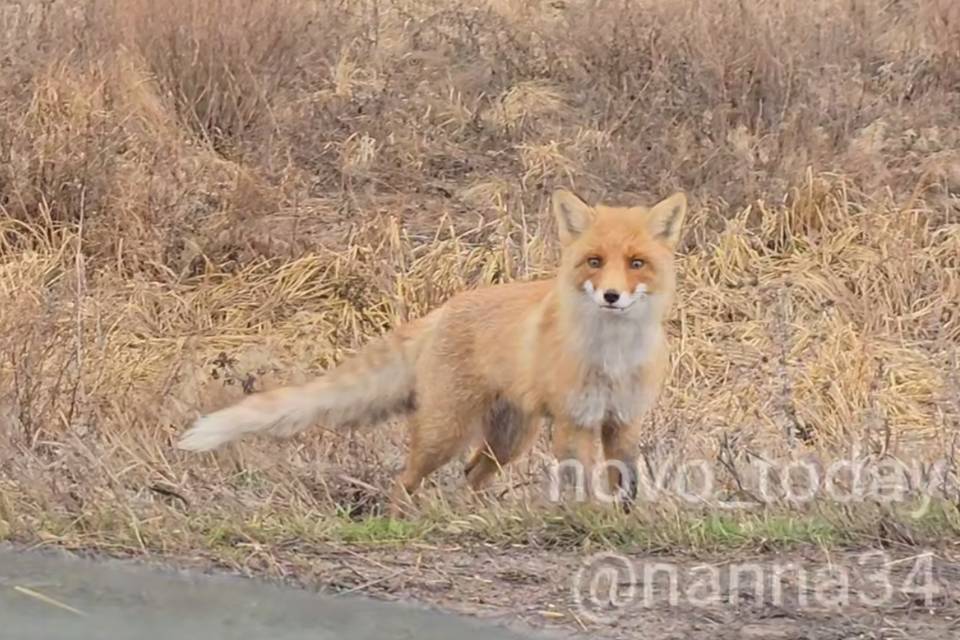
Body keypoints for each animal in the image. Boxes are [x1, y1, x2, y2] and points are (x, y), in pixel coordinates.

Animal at [176, 190, 688, 516]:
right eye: (594, 262)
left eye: (637, 264)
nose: (612, 297)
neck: (613, 357)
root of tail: (445, 308)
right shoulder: (575, 422)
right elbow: (583, 483)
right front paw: (587, 523)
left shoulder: (622, 420)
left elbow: (626, 484)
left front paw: (623, 524)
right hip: (447, 432)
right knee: (405, 480)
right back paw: (400, 521)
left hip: (508, 441)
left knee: (472, 474)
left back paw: (475, 518)